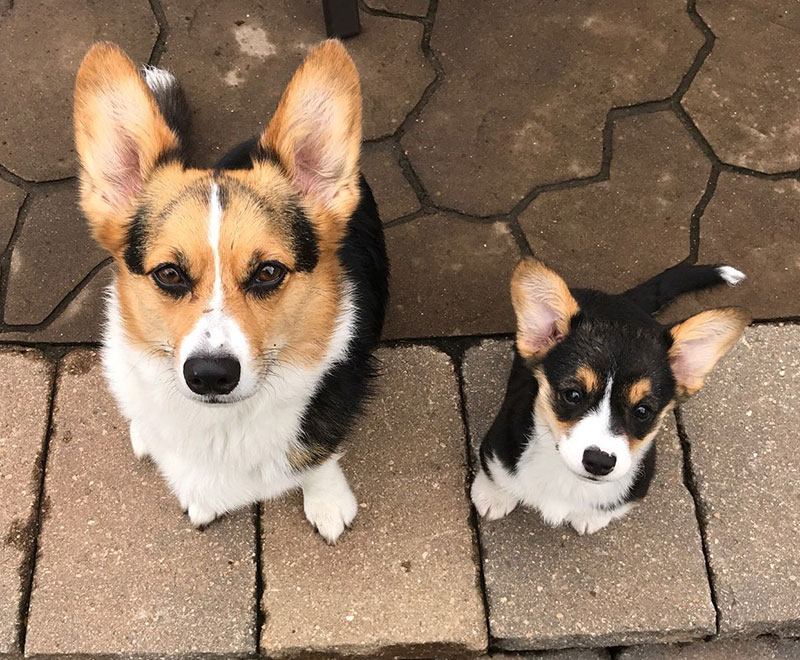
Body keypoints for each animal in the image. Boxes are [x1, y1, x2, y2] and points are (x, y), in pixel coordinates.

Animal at [71, 42, 388, 548]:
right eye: (169, 274)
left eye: (268, 272)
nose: (210, 376)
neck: (223, 426)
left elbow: (320, 457)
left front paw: (327, 502)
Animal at [472, 260, 748, 536]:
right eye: (573, 395)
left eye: (642, 411)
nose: (599, 462)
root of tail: (621, 299)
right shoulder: (497, 447)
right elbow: (495, 475)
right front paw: (493, 498)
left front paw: (590, 517)